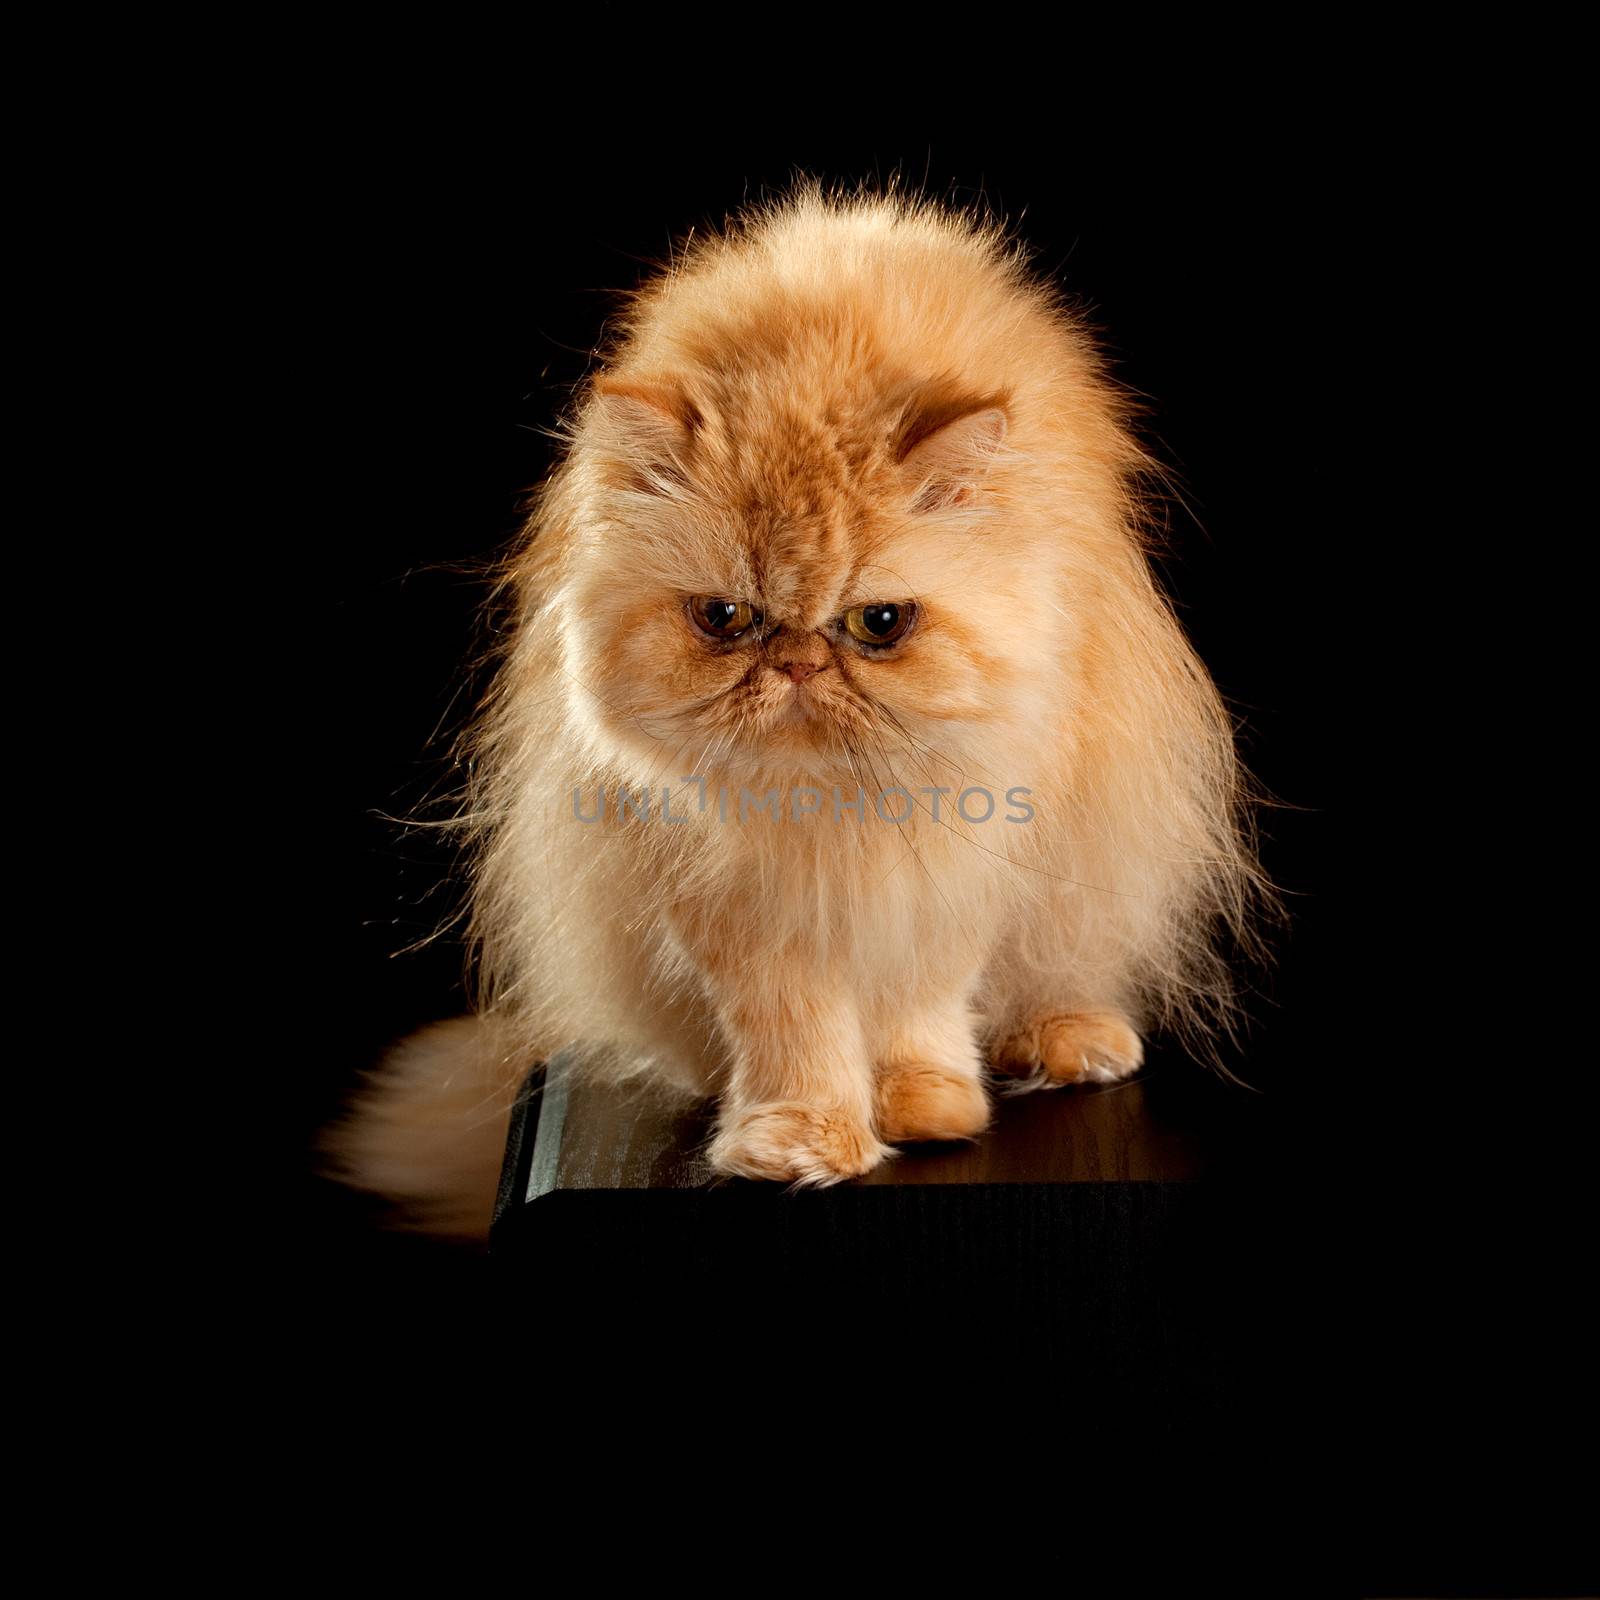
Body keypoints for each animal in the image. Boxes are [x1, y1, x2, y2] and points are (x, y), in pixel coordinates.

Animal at [328, 184, 1273, 1235]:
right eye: (725, 619)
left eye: (879, 624)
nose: (796, 663)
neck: (829, 812)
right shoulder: (743, 909)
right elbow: (798, 1038)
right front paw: (801, 1142)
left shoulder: (947, 879)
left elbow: (918, 1010)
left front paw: (923, 1107)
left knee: (1065, 976)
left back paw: (1070, 1042)